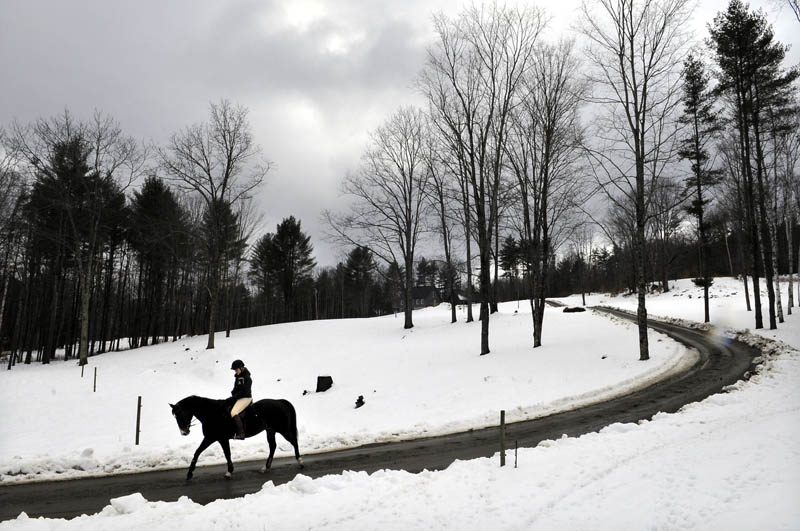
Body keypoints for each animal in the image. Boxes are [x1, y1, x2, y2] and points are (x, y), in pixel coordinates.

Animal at [169, 394, 304, 482]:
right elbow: (223, 453)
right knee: (273, 446)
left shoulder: (213, 438)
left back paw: (300, 461)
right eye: (175, 416)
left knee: (294, 441)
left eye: (180, 414)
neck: (212, 413)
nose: (184, 432)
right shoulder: (219, 439)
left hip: (283, 430)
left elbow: (200, 452)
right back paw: (265, 467)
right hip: (270, 431)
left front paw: (190, 473)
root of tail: (280, 401)